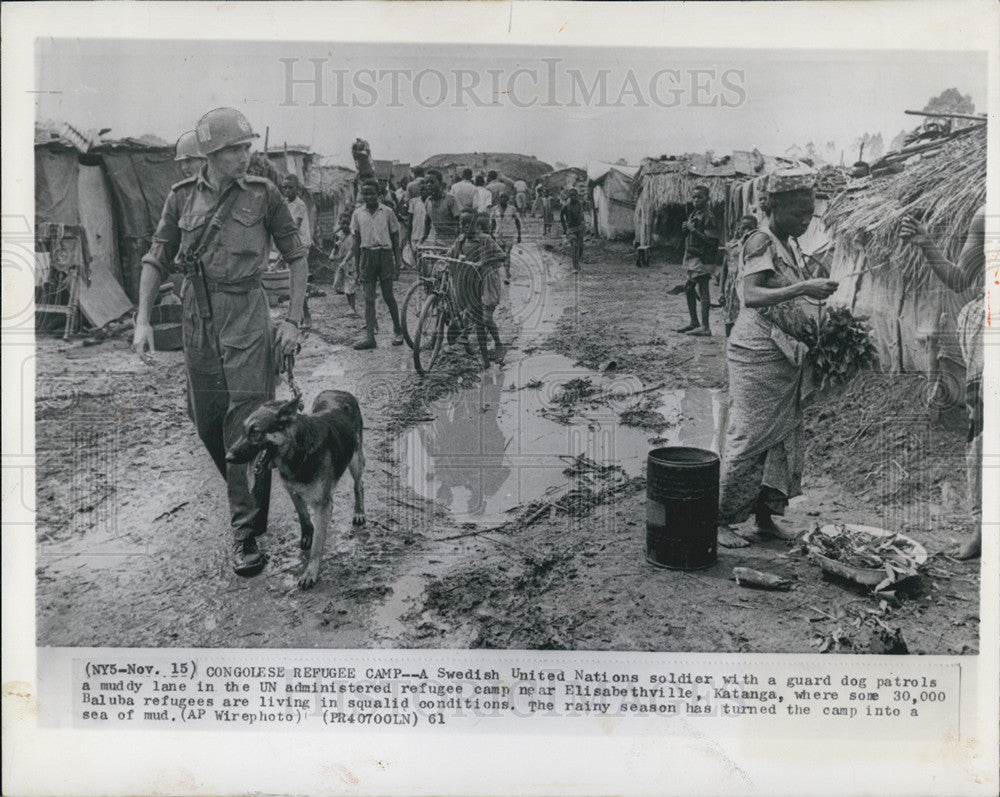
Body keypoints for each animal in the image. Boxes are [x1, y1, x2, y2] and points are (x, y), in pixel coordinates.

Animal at [227, 388, 368, 588]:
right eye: (243, 430)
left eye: (255, 432)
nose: (228, 457)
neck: (297, 452)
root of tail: (338, 391)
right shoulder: (293, 492)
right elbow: (303, 516)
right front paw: (307, 535)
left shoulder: (322, 505)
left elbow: (318, 543)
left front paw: (310, 571)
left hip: (355, 460)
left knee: (359, 485)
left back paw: (359, 511)